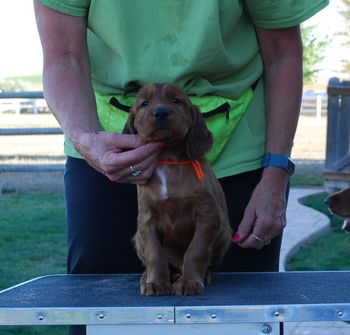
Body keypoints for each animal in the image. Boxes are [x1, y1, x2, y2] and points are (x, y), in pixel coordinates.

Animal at [123, 84, 232, 296]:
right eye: (144, 103)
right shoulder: (147, 220)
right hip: (137, 238)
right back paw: (147, 277)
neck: (169, 160)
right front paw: (156, 282)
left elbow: (196, 251)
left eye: (176, 100)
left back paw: (199, 275)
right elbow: (155, 254)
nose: (160, 112)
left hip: (224, 233)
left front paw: (189, 282)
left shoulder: (207, 215)